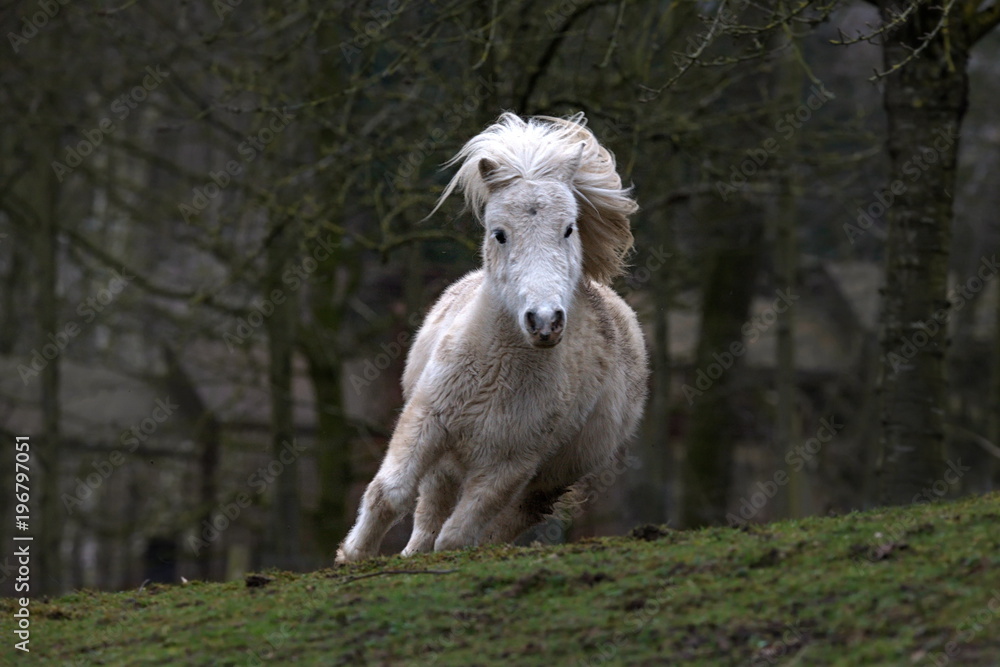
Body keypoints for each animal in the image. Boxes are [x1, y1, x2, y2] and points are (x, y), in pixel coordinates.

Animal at [336, 112, 649, 562]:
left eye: (569, 229)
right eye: (499, 233)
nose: (544, 321)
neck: (496, 371)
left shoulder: (510, 465)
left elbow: (458, 536)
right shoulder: (427, 421)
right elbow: (390, 493)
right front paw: (352, 556)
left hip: (543, 482)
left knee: (500, 525)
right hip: (448, 462)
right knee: (430, 509)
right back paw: (411, 555)